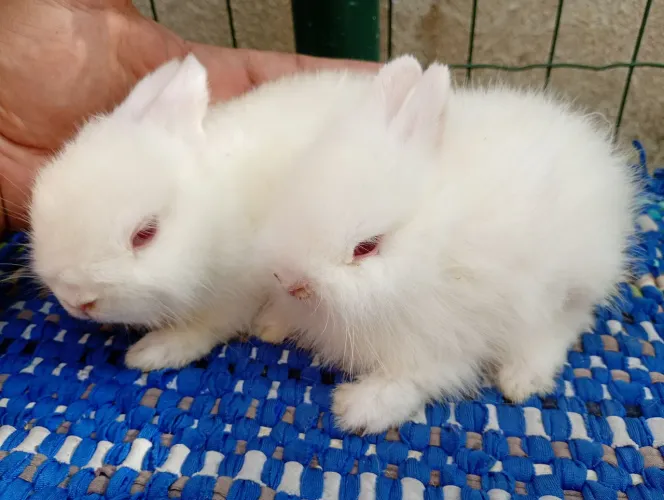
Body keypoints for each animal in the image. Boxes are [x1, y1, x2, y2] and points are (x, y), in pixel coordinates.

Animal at [29, 53, 378, 372]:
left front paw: (152, 353)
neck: (213, 216)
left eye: (145, 234)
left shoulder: (238, 290)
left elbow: (207, 325)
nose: (76, 301)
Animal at [252, 55, 640, 433]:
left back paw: (520, 380)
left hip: (559, 293)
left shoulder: (443, 340)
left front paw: (357, 410)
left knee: (561, 328)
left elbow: (416, 380)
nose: (290, 281)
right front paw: (269, 326)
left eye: (366, 247)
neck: (429, 247)